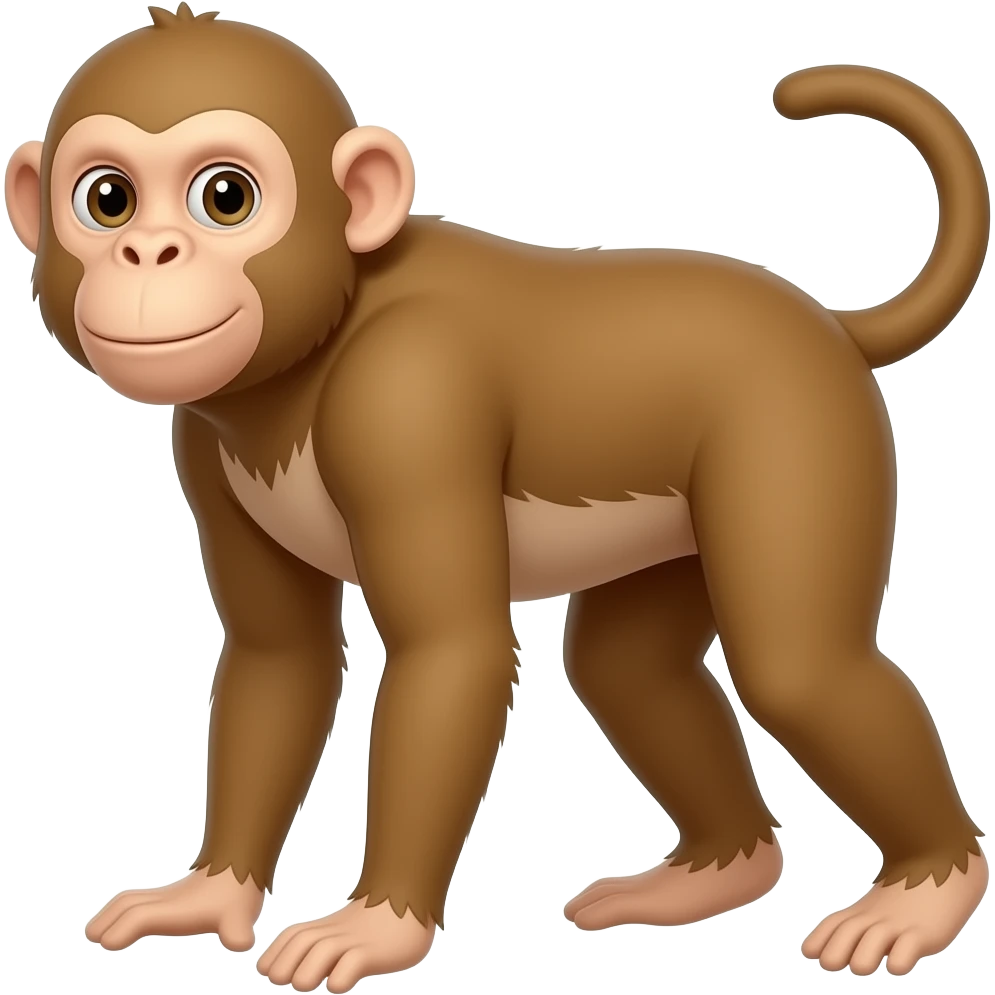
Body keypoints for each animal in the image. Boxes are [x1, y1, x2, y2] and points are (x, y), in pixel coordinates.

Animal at [4, 4, 990, 990]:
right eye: (107, 200)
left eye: (225, 198)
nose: (147, 251)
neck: (314, 344)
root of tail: (828, 324)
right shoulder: (202, 446)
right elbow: (279, 660)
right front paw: (208, 895)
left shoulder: (407, 398)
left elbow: (451, 652)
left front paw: (378, 924)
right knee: (628, 670)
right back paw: (714, 872)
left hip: (793, 436)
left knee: (798, 667)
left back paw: (928, 886)